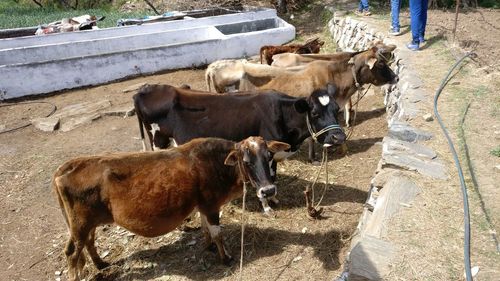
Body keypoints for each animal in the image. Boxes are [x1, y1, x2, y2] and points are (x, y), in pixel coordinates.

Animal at [52, 136, 290, 280]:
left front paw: (209, 246)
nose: (268, 191)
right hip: (80, 224)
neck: (217, 165)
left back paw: (101, 264)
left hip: (87, 223)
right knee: (72, 252)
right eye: (247, 161)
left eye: (269, 157)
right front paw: (225, 258)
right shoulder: (211, 205)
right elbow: (217, 233)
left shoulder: (203, 205)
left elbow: (205, 229)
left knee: (89, 243)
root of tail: (69, 165)